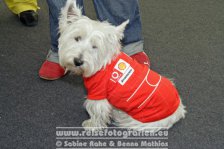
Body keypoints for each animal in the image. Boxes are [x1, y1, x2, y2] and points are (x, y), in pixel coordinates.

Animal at [57, 0, 186, 133]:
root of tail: (178, 111)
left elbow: (97, 112)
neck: (101, 64)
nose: (78, 61)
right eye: (77, 38)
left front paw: (91, 125)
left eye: (95, 46)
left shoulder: (98, 93)